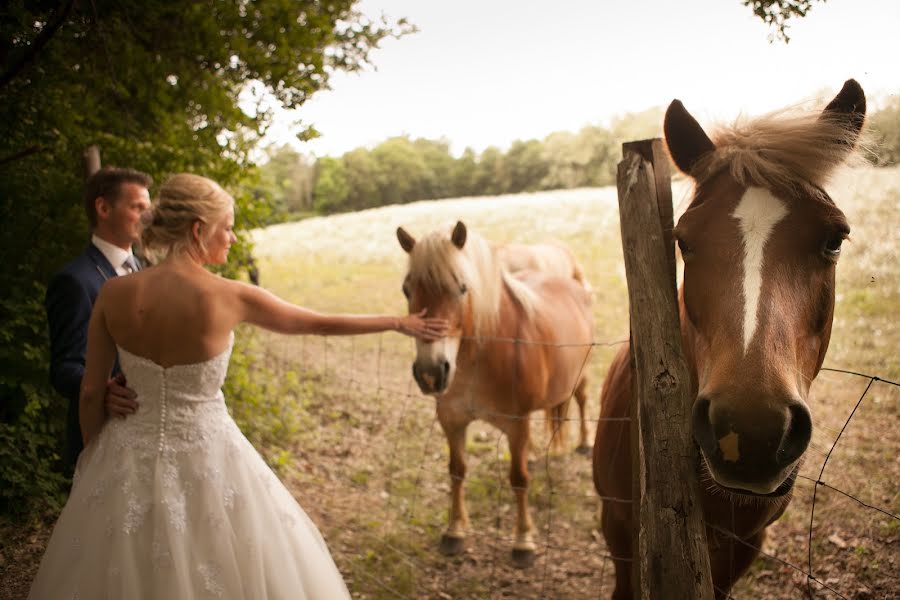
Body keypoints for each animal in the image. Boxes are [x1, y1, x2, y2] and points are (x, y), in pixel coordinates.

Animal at [398, 224, 596, 568]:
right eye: (406, 290)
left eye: (462, 288)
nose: (431, 372)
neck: (479, 360)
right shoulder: (451, 421)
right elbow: (457, 470)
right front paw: (455, 530)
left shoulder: (516, 424)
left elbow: (518, 478)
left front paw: (523, 542)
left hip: (579, 375)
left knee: (582, 400)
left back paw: (585, 443)